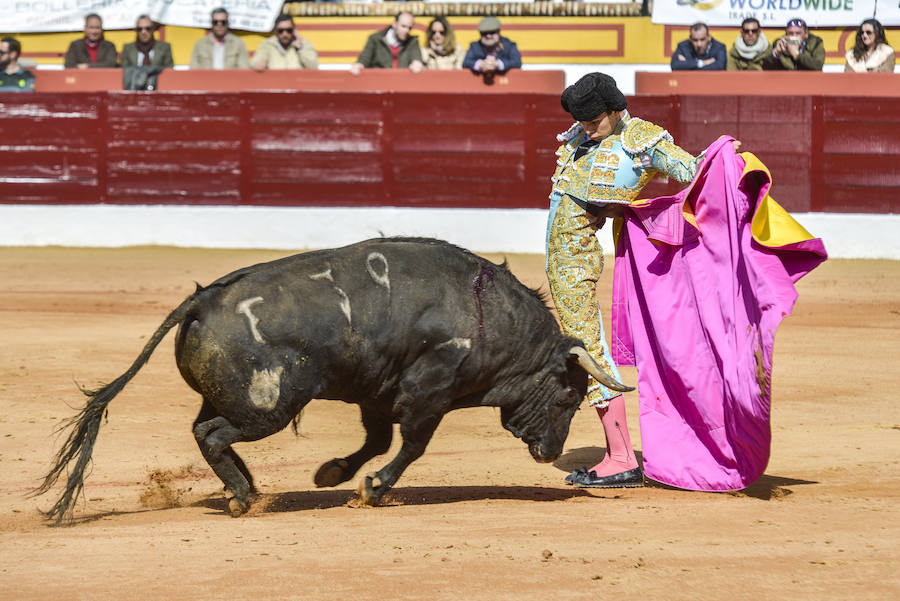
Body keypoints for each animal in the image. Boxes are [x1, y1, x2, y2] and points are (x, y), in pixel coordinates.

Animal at [33, 237, 624, 524]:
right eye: (569, 396)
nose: (550, 454)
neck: (488, 317)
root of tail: (201, 300)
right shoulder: (427, 395)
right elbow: (411, 446)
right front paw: (371, 489)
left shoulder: (378, 395)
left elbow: (377, 440)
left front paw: (332, 473)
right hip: (268, 407)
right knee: (214, 435)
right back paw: (243, 495)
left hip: (233, 400)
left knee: (203, 431)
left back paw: (248, 486)